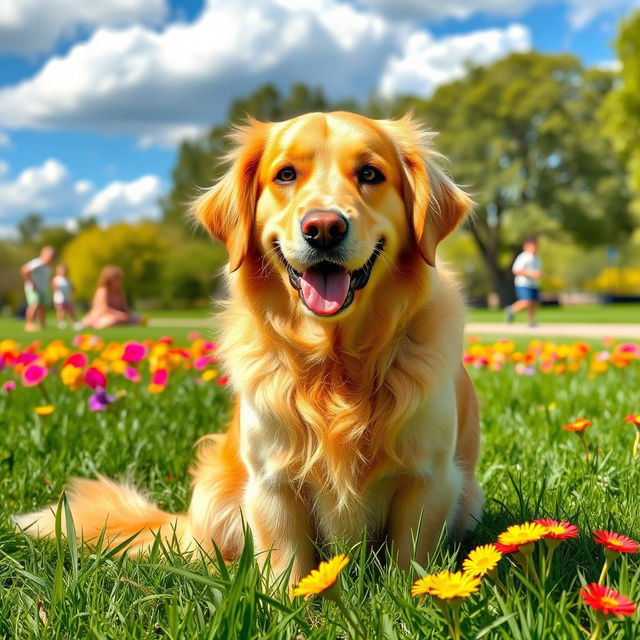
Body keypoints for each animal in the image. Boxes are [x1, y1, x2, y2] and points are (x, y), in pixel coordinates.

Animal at [16, 111, 480, 584]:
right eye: (286, 174)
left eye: (370, 174)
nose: (323, 229)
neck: (335, 363)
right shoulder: (272, 482)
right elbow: (286, 566)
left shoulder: (429, 478)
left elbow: (411, 563)